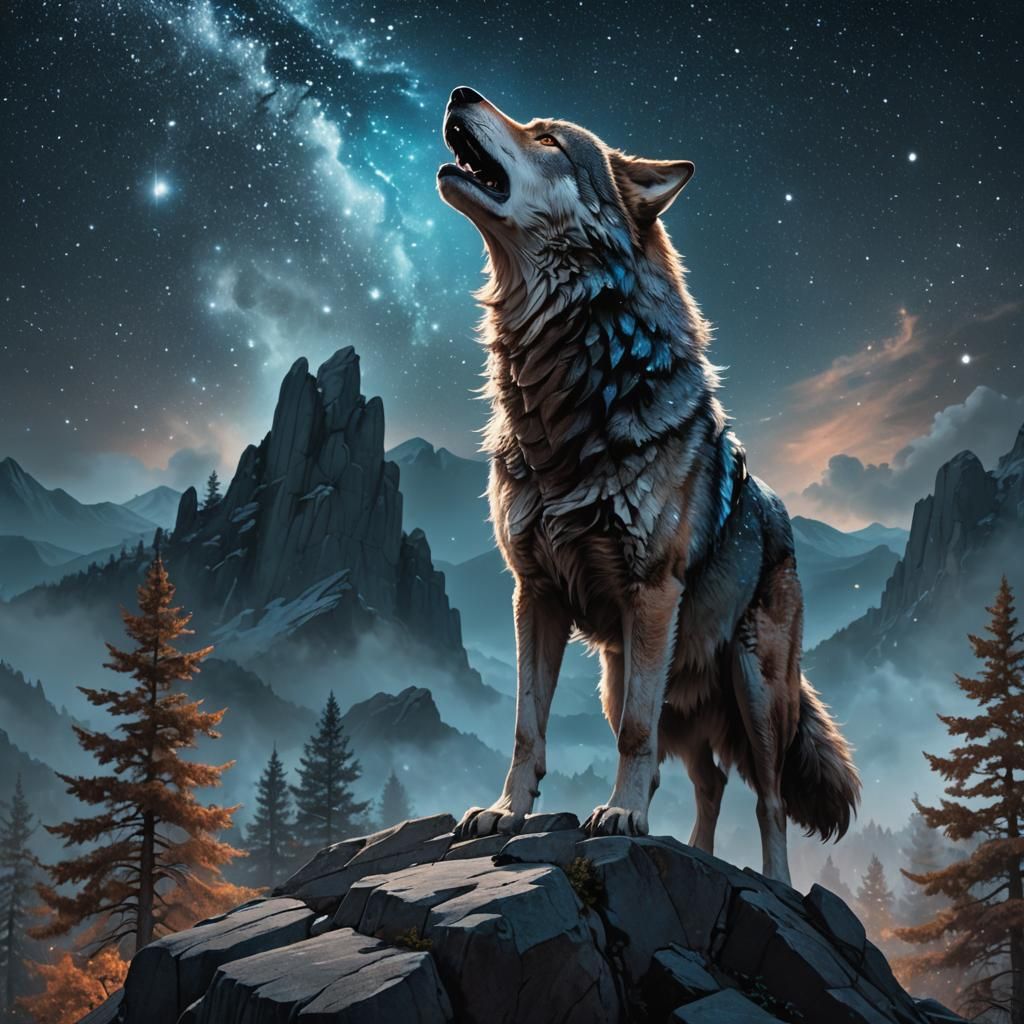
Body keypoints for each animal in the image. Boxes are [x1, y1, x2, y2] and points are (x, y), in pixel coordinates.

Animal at [436, 86, 860, 882]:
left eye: (546, 138)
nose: (459, 93)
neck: (564, 405)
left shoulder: (652, 592)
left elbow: (636, 735)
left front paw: (621, 815)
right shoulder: (533, 592)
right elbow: (527, 725)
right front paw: (507, 812)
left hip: (755, 690)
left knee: (767, 798)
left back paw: (774, 884)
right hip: (630, 678)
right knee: (709, 780)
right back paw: (694, 855)